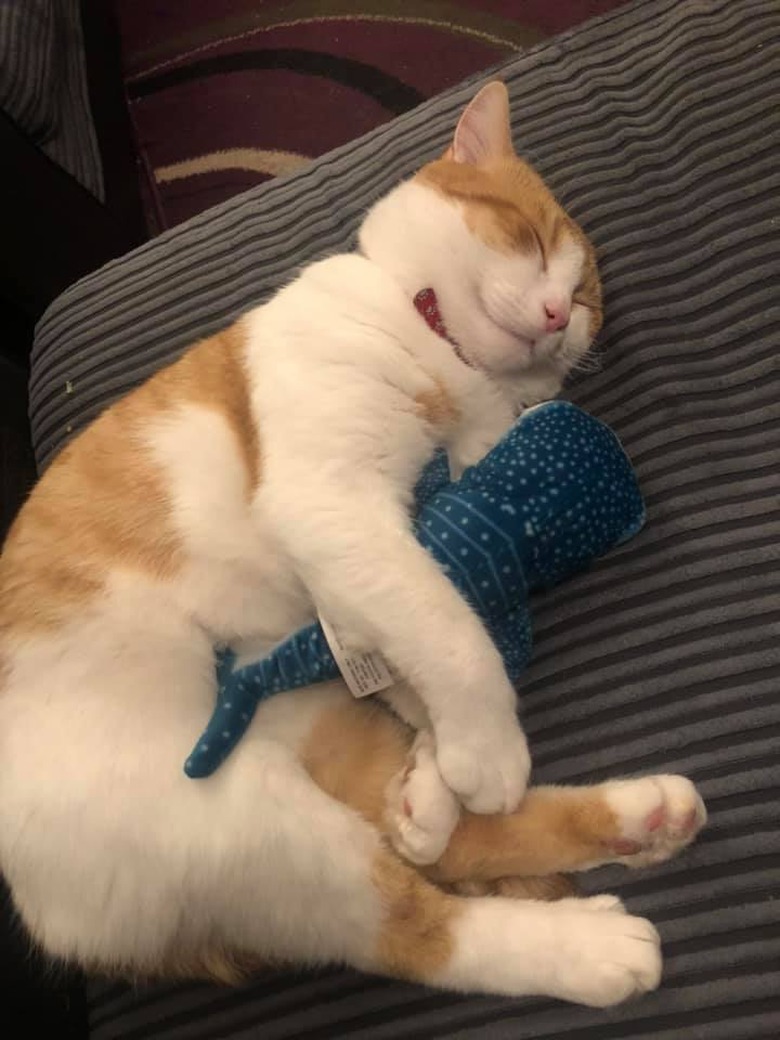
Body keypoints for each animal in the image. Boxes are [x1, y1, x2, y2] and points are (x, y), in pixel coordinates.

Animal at [0, 81, 707, 1006]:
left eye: (586, 299)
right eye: (529, 237)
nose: (560, 316)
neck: (439, 355)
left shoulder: (368, 560)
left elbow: (428, 633)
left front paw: (434, 781)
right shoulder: (333, 504)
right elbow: (450, 631)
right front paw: (479, 750)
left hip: (313, 736)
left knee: (453, 849)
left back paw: (637, 815)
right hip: (253, 829)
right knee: (420, 932)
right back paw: (593, 945)